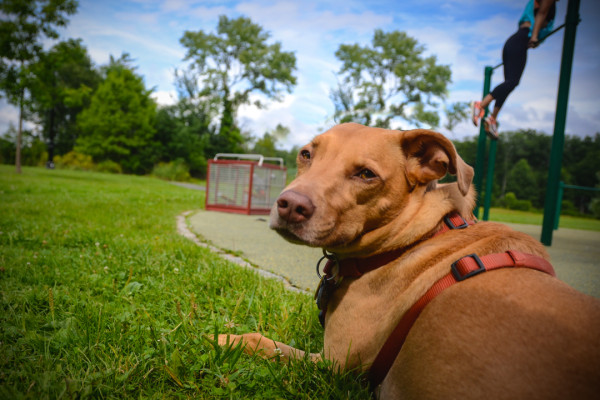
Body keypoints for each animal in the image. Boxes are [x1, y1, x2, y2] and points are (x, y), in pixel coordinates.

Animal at [217, 123, 600, 398]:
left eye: (366, 174)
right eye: (306, 154)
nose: (289, 205)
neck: (413, 236)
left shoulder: (334, 368)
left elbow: (267, 343)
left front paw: (226, 338)